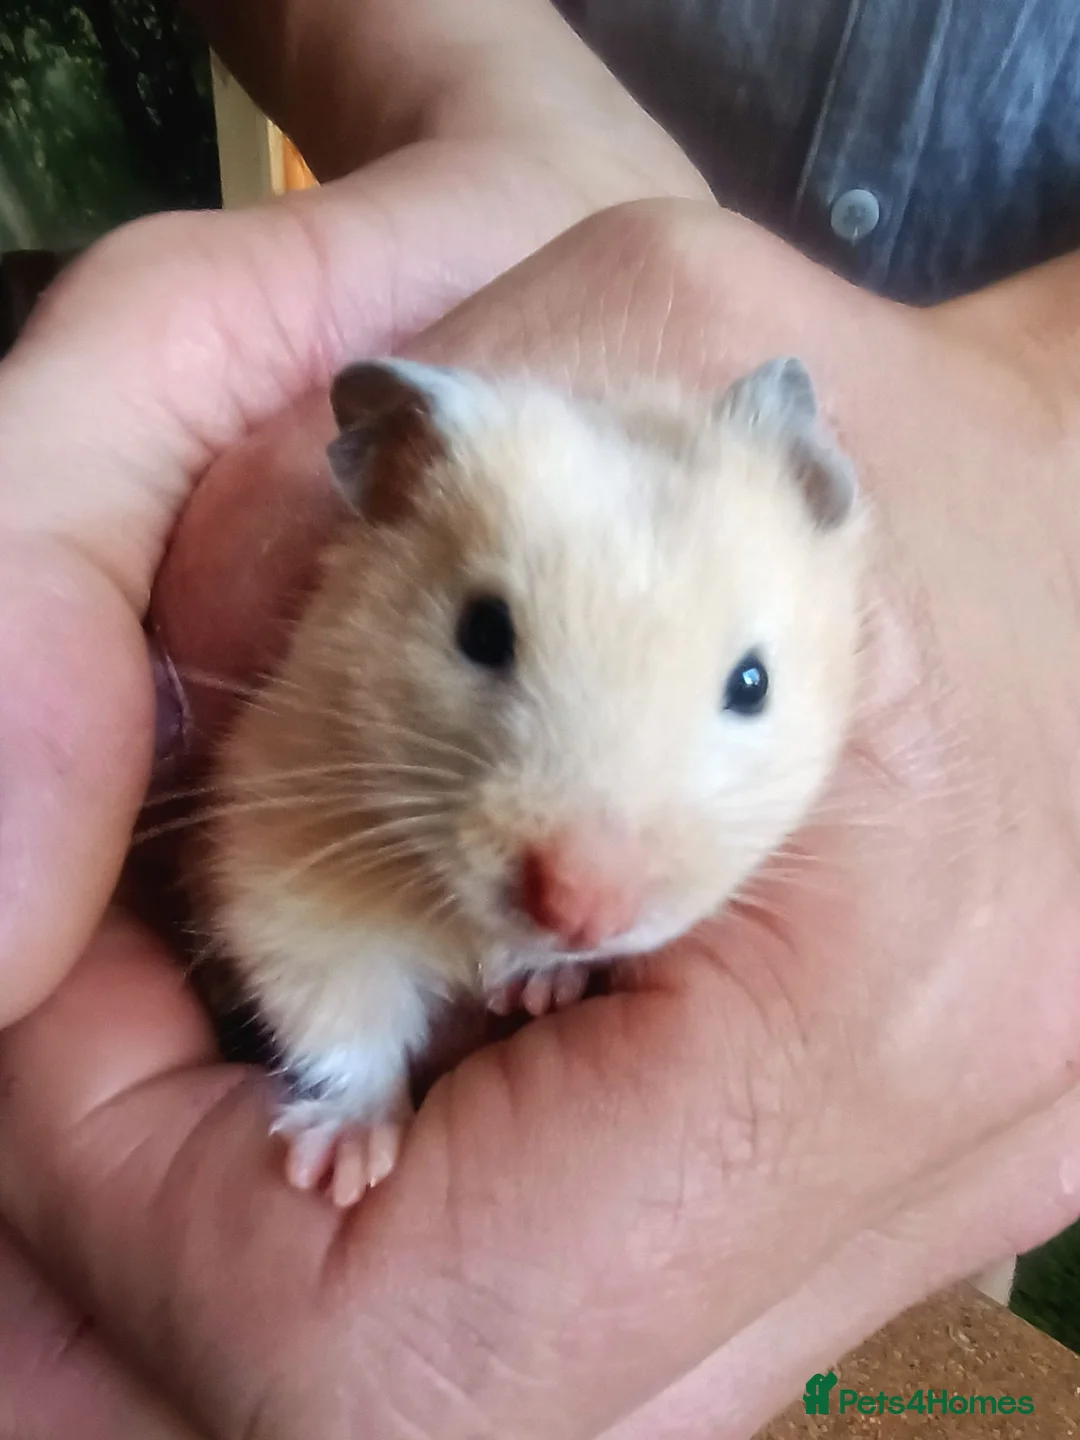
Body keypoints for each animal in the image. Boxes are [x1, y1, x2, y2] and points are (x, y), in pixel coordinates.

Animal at [201, 355, 866, 1206]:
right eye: (482, 631)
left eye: (753, 684)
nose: (581, 913)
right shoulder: (285, 858)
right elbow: (344, 1016)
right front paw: (339, 1170)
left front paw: (539, 987)